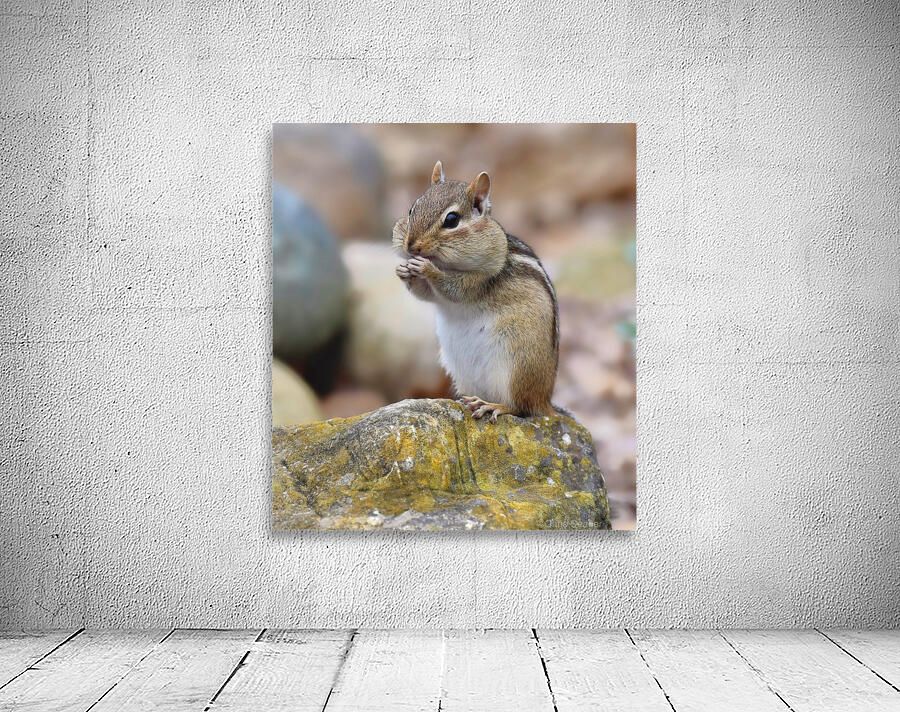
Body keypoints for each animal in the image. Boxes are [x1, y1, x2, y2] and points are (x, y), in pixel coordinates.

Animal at [393, 161, 559, 422]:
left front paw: (426, 268)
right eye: (412, 209)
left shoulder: (481, 280)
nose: (411, 246)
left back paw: (492, 406)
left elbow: (455, 289)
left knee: (521, 407)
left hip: (516, 365)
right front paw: (404, 271)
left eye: (451, 219)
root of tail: (546, 400)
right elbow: (426, 295)